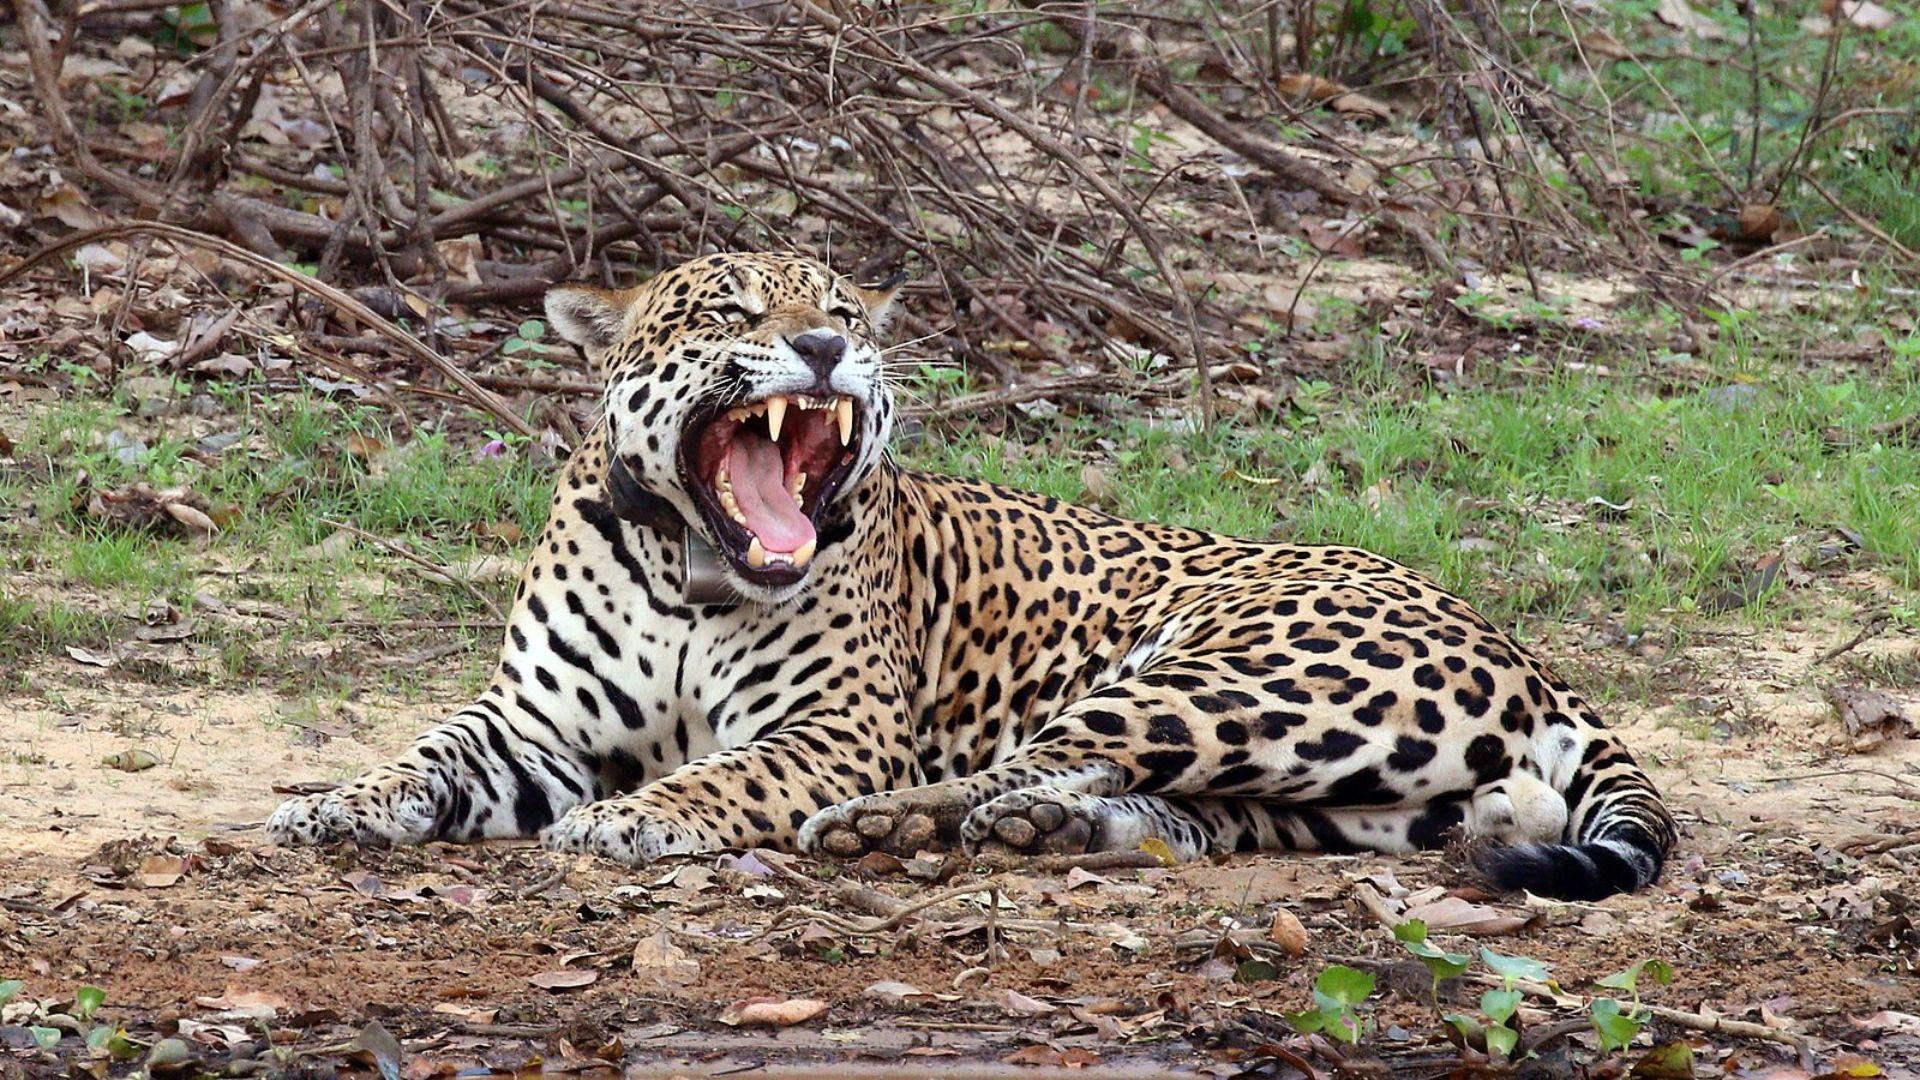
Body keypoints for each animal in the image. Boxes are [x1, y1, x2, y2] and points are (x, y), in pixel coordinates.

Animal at [267, 251, 1677, 900]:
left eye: (842, 309)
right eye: (729, 312)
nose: (826, 347)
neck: (686, 568)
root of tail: (1519, 643)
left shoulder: (836, 730)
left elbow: (731, 773)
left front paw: (636, 817)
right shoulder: (532, 726)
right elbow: (427, 751)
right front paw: (331, 803)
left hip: (1228, 678)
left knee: (1025, 765)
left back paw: (894, 828)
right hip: (1342, 795)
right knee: (1173, 813)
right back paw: (1051, 833)